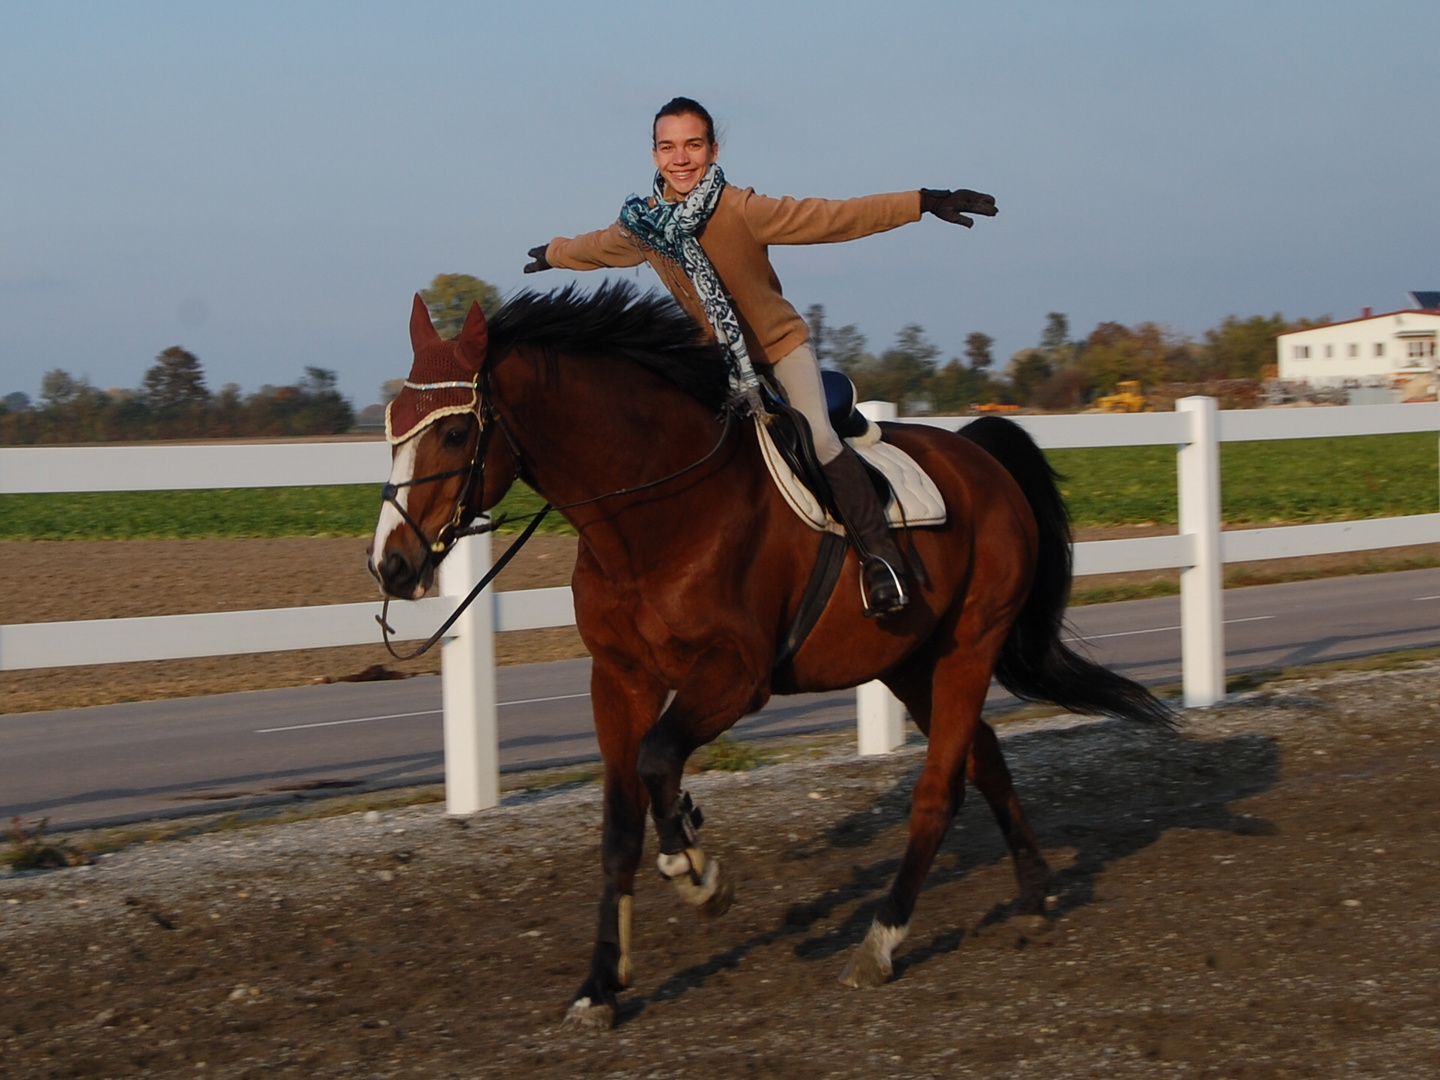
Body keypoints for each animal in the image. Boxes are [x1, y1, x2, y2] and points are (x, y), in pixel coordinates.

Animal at [368, 283, 1169, 1025]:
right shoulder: (618, 681)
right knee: (987, 759)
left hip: (970, 645)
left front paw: (697, 871)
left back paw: (880, 941)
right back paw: (1033, 891)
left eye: (453, 435)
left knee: (939, 792)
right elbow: (620, 827)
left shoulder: (734, 678)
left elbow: (659, 762)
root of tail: (980, 453)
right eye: (390, 427)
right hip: (913, 661)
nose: (392, 566)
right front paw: (600, 984)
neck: (655, 515)